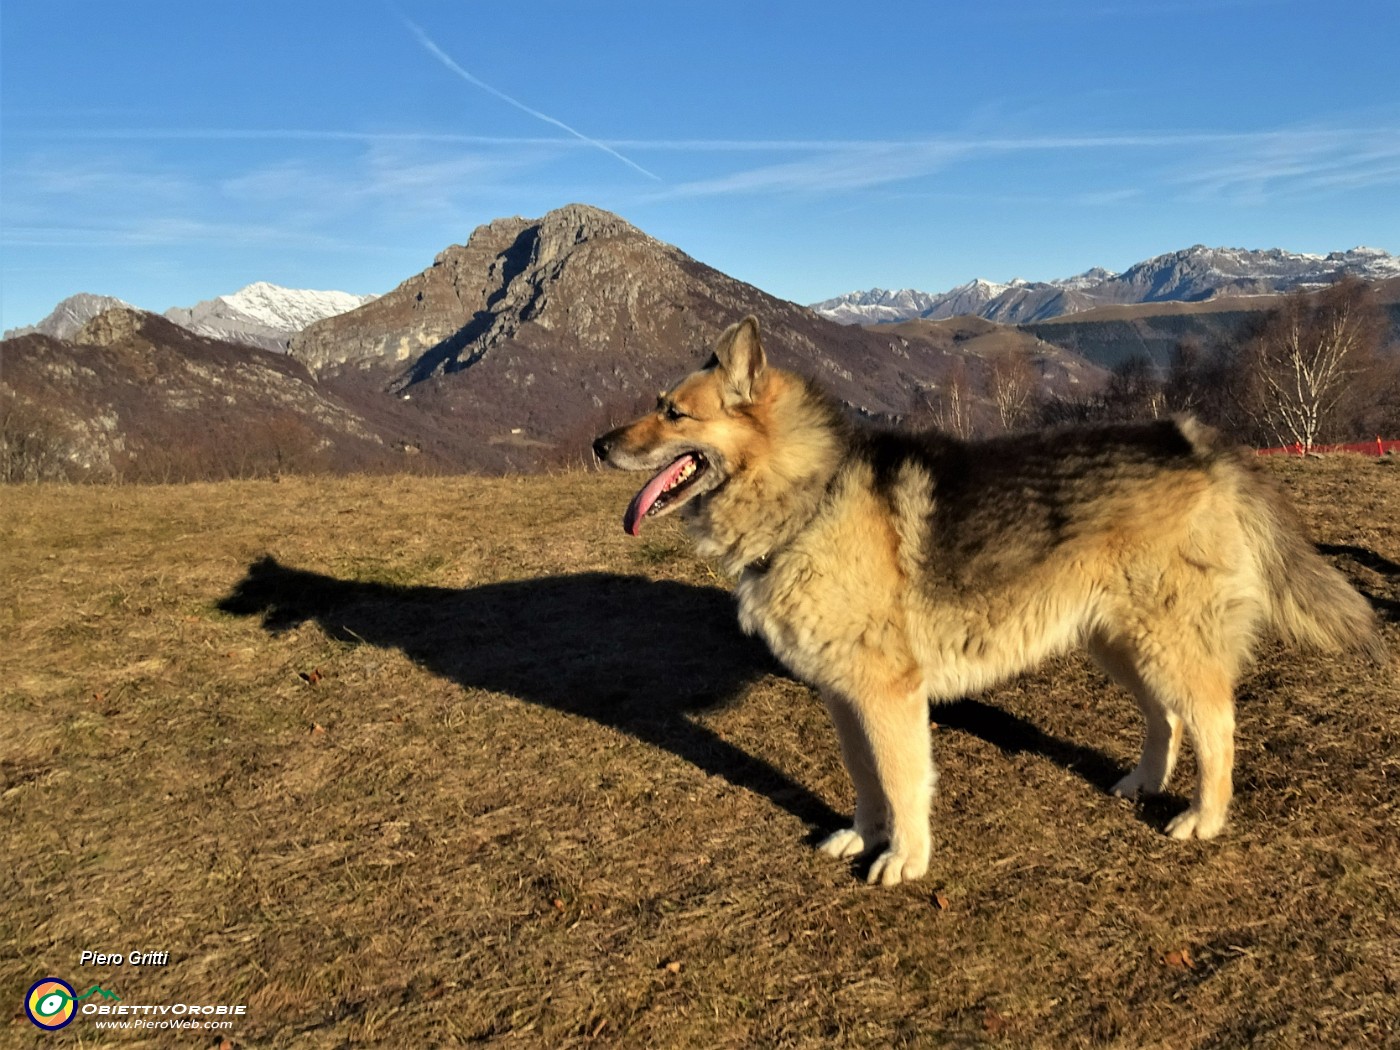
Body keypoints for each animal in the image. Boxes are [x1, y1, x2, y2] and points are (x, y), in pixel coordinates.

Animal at [588, 316, 1377, 884]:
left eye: (674, 413)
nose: (597, 445)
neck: (808, 495)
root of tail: (1195, 441)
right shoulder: (845, 696)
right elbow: (866, 782)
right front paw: (862, 836)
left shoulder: (889, 696)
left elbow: (903, 783)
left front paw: (904, 859)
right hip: (1117, 641)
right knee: (1169, 718)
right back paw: (1143, 782)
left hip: (1164, 640)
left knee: (1215, 722)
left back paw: (1204, 818)